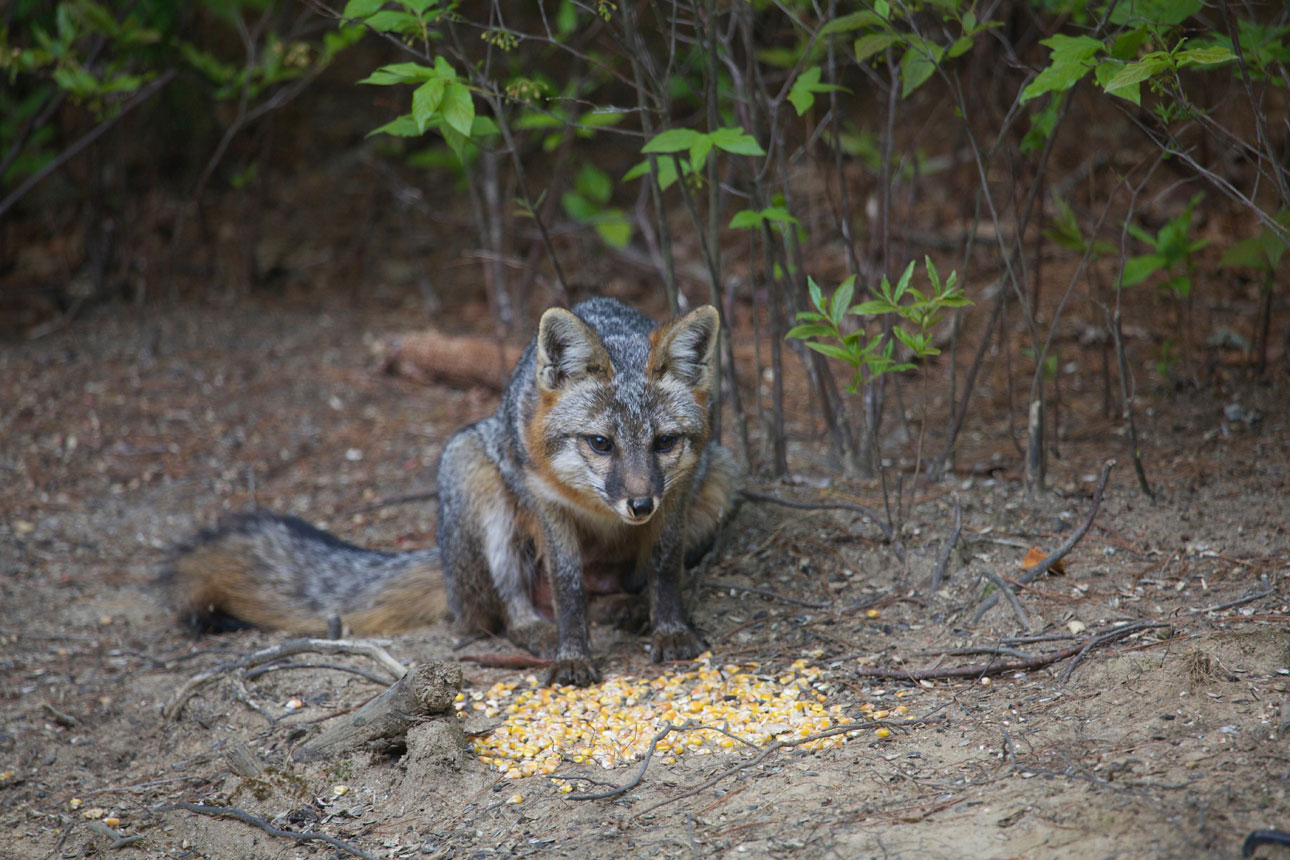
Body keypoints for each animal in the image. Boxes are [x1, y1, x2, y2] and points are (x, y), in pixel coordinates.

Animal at [163, 299, 737, 691]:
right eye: (601, 443)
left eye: (664, 443)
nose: (639, 506)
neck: (600, 511)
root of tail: (443, 566)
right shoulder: (547, 505)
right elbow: (568, 587)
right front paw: (572, 654)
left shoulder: (677, 497)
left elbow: (664, 567)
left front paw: (669, 628)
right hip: (473, 475)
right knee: (500, 611)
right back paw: (536, 628)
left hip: (720, 478)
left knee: (622, 584)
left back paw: (627, 605)